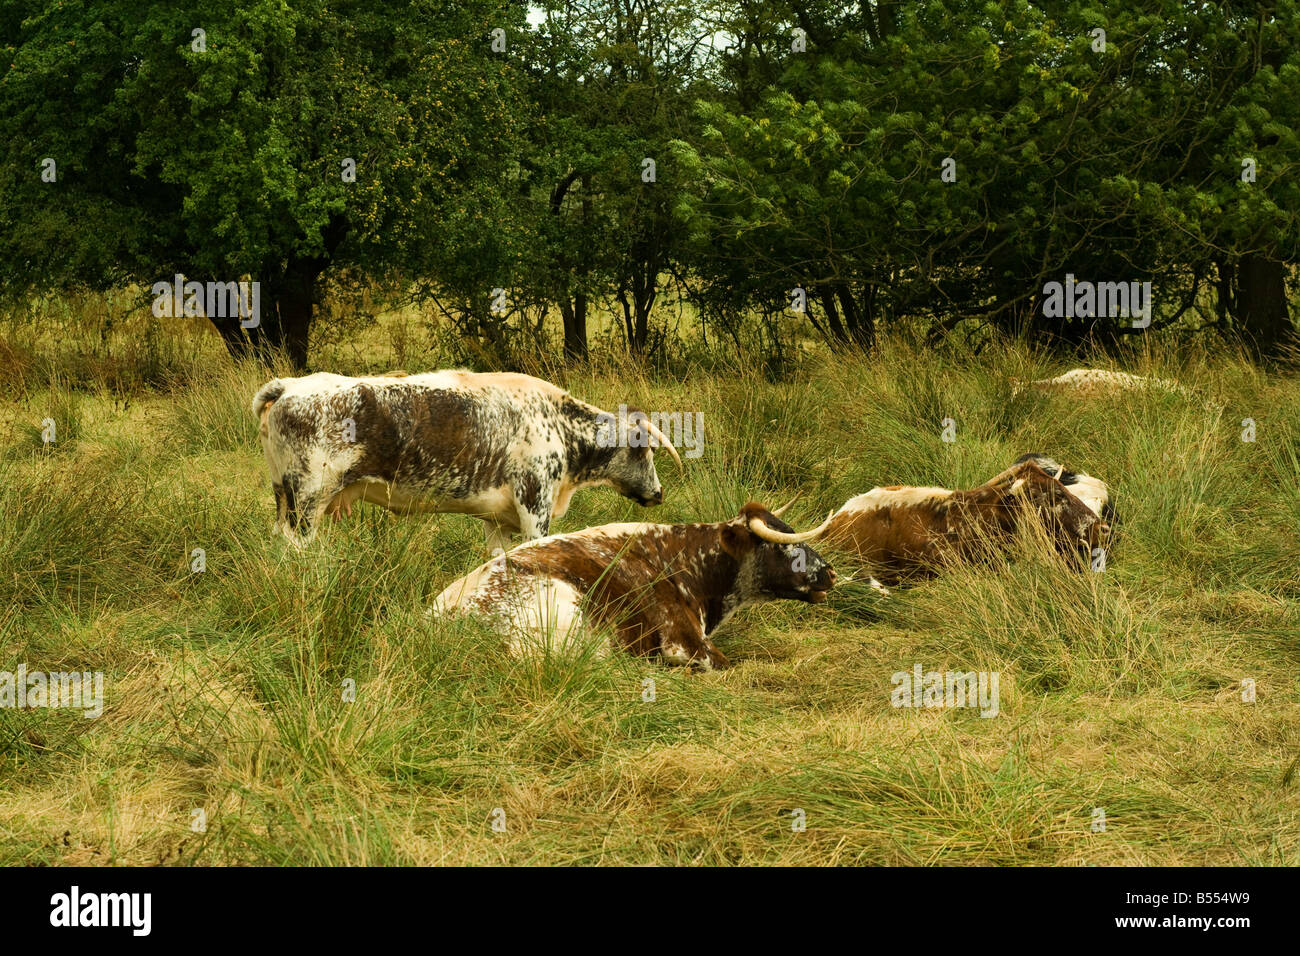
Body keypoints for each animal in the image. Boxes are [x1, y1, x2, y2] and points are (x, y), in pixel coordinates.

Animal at [252, 370, 683, 549]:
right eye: (645, 449)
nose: (660, 493)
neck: (558, 424)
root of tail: (289, 386)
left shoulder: (498, 519)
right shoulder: (535, 505)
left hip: (282, 495)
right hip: (307, 501)